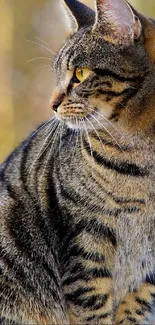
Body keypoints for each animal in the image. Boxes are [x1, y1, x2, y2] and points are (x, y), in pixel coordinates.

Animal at [0, 0, 155, 322]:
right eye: (58, 74)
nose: (51, 104)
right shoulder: (85, 237)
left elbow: (135, 306)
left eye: (80, 74)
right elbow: (92, 309)